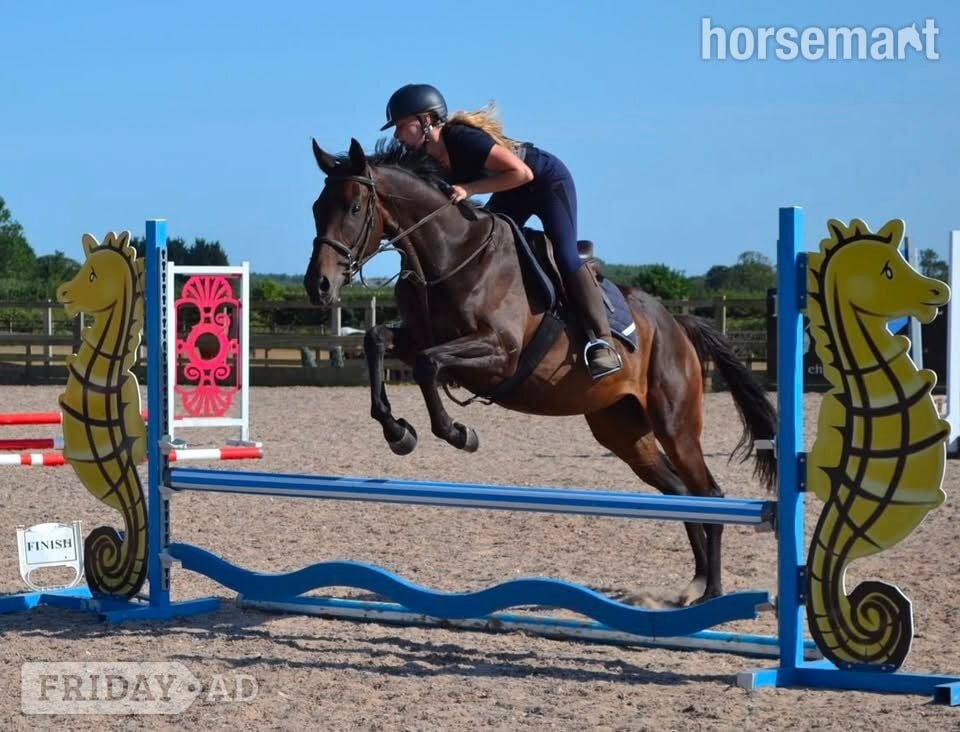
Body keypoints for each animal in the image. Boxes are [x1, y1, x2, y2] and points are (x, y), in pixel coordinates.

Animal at [304, 137, 777, 606]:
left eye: (354, 208)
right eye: (316, 207)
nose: (317, 286)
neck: (448, 256)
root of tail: (676, 323)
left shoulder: (500, 353)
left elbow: (428, 365)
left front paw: (457, 432)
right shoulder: (417, 338)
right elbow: (376, 340)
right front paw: (397, 431)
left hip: (675, 423)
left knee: (708, 493)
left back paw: (713, 590)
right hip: (623, 430)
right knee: (680, 493)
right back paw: (695, 584)